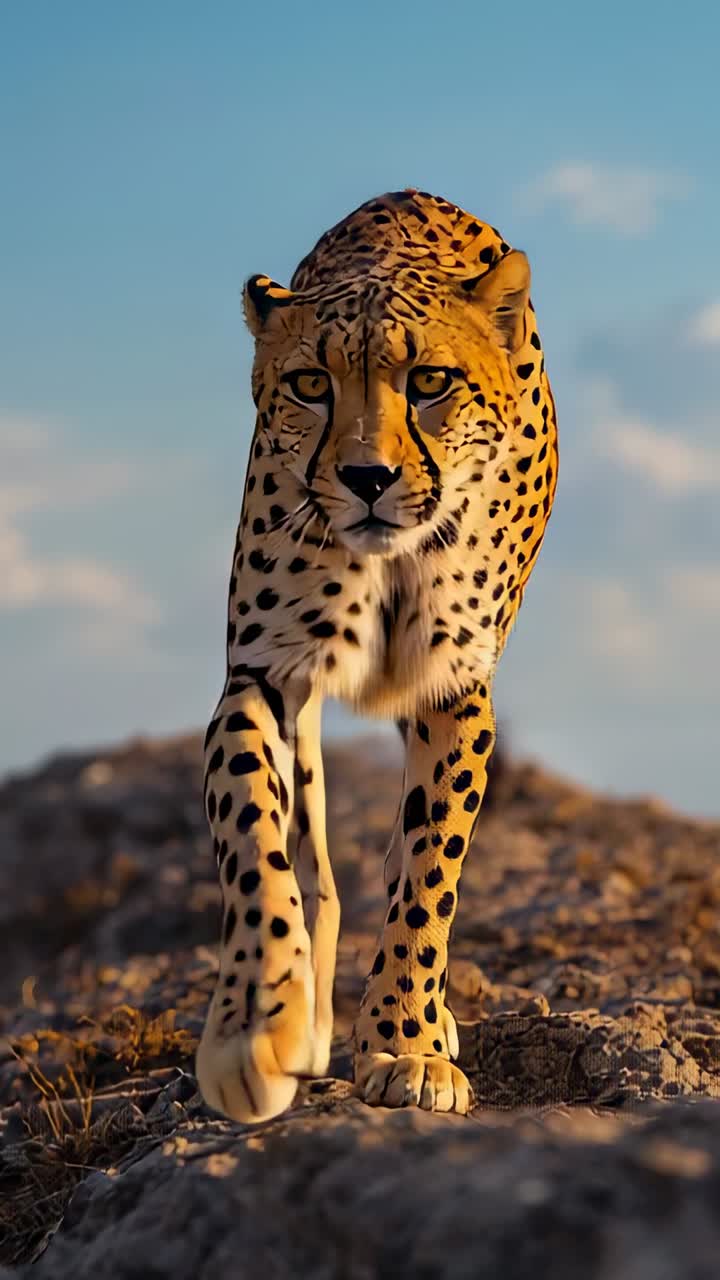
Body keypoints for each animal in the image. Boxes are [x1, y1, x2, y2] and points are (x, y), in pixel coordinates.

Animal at [195, 188, 558, 1123]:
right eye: (310, 385)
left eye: (429, 382)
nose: (367, 478)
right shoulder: (265, 672)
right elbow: (258, 842)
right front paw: (256, 1024)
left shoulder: (453, 690)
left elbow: (430, 869)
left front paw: (404, 1041)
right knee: (316, 858)